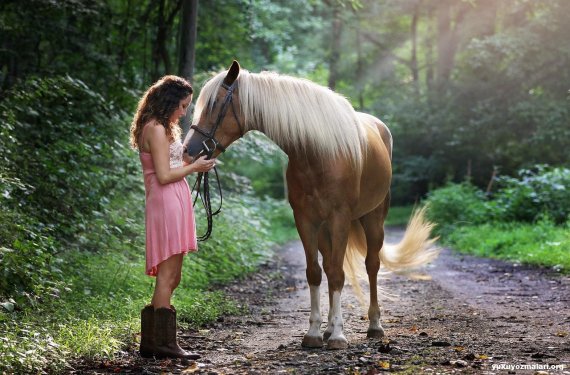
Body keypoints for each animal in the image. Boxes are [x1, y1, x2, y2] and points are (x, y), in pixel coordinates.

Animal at [184, 60, 438, 352]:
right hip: (326, 229)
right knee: (328, 265)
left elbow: (338, 274)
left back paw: (374, 325)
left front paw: (338, 336)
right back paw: (328, 329)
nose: (188, 150)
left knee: (371, 265)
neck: (317, 153)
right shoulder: (305, 220)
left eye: (214, 104)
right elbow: (315, 273)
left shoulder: (340, 218)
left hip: (373, 219)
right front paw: (315, 333)